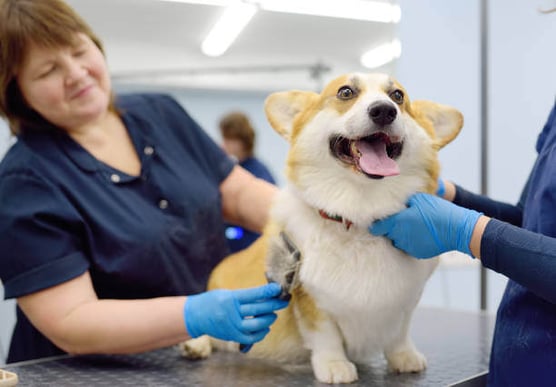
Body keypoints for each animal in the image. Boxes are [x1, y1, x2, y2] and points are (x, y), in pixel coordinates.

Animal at [181, 73, 460, 384]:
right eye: (346, 92)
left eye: (398, 96)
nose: (384, 111)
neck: (360, 218)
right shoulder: (311, 301)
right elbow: (326, 336)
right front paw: (335, 365)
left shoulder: (406, 302)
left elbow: (399, 332)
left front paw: (404, 357)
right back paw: (196, 343)